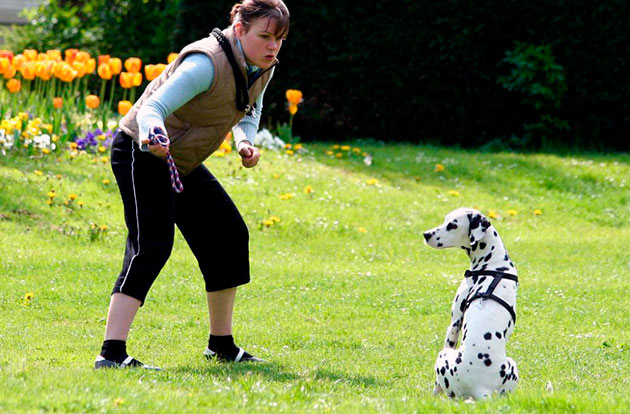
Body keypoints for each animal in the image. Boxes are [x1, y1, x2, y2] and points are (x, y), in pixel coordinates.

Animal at [424, 209, 524, 400]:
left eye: (452, 225)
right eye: (445, 219)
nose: (426, 234)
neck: (494, 264)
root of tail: (481, 389)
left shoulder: (455, 323)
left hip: (443, 355)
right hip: (512, 366)